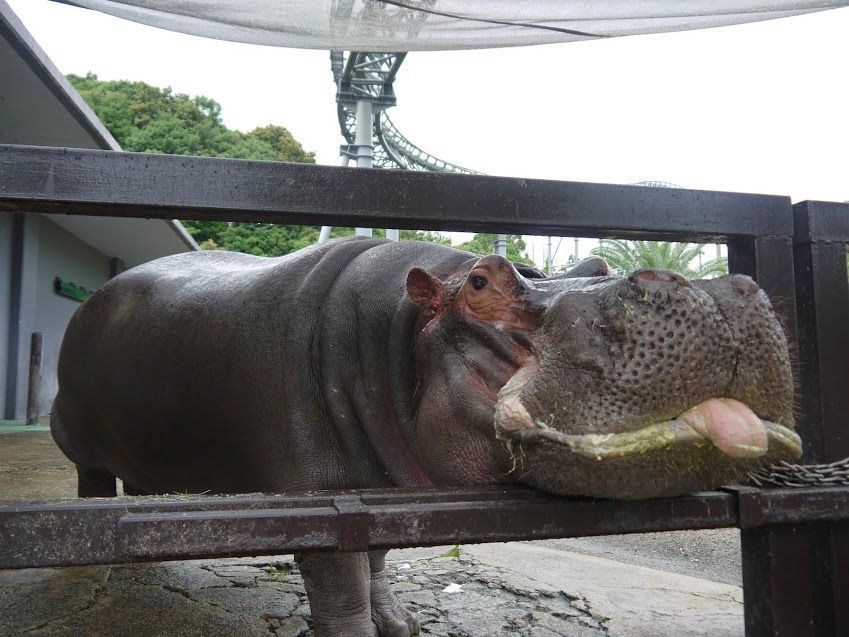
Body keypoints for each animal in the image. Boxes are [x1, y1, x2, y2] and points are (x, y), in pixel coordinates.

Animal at [49, 236, 800, 632]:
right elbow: (340, 587)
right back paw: (89, 567)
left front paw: (400, 624)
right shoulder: (314, 501)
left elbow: (377, 562)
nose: (713, 289)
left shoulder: (381, 490)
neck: (399, 334)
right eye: (479, 282)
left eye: (594, 268)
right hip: (75, 437)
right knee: (92, 491)